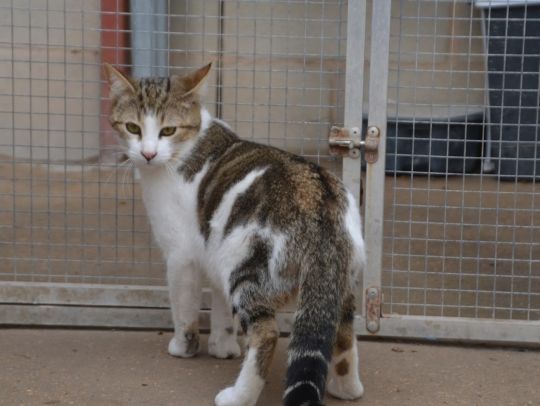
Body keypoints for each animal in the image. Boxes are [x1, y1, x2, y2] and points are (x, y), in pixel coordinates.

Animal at [104, 62, 365, 406]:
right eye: (133, 128)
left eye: (168, 131)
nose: (147, 154)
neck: (186, 147)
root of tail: (318, 200)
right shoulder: (213, 249)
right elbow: (220, 308)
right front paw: (223, 346)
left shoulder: (181, 255)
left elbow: (184, 308)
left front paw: (184, 346)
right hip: (337, 282)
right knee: (344, 331)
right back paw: (346, 388)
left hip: (245, 266)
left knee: (267, 334)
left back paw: (238, 396)